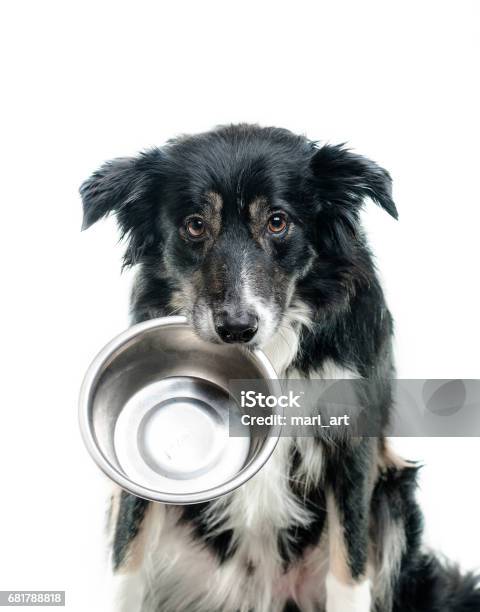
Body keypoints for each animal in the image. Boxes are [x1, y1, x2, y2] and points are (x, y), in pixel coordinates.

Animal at [79, 124, 480, 612]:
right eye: (194, 225)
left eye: (277, 221)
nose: (236, 328)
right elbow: (127, 554)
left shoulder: (352, 439)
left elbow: (350, 564)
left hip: (394, 496)